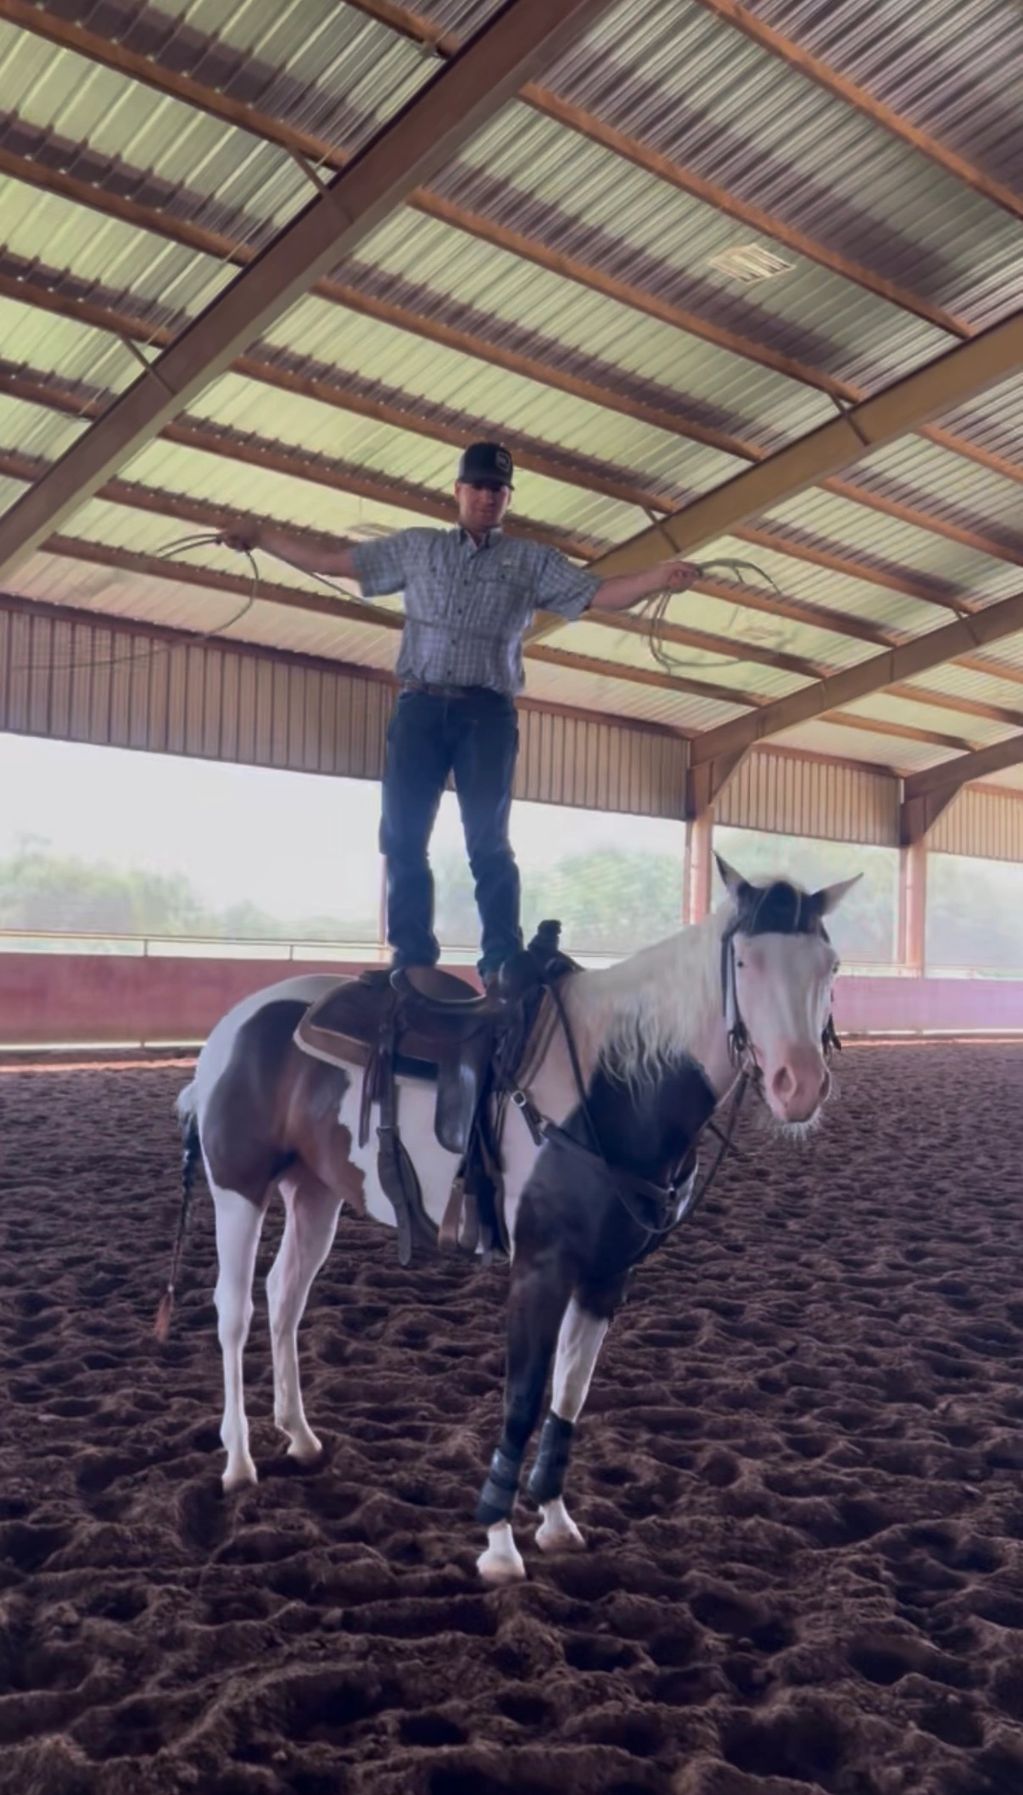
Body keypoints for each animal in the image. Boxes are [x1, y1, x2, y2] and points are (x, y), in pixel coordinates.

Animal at [165, 857, 858, 1584]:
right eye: (746, 960)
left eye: (830, 964)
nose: (798, 1085)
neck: (611, 1087)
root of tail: (234, 1026)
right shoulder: (540, 1267)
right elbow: (523, 1397)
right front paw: (498, 1541)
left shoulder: (606, 1275)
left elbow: (568, 1394)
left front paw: (554, 1520)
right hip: (237, 1188)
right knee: (235, 1309)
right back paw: (238, 1460)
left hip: (315, 1192)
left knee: (285, 1297)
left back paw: (298, 1435)